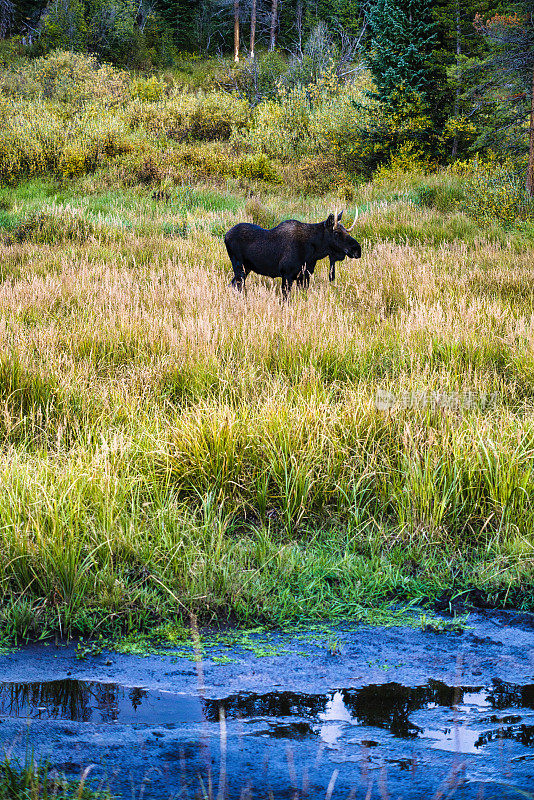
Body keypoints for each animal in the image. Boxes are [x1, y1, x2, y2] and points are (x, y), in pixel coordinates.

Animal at [224, 209, 362, 296]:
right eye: (336, 233)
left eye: (346, 231)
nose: (357, 249)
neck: (313, 252)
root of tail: (225, 235)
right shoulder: (287, 275)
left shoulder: (304, 276)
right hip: (238, 266)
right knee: (237, 286)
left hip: (246, 268)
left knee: (232, 285)